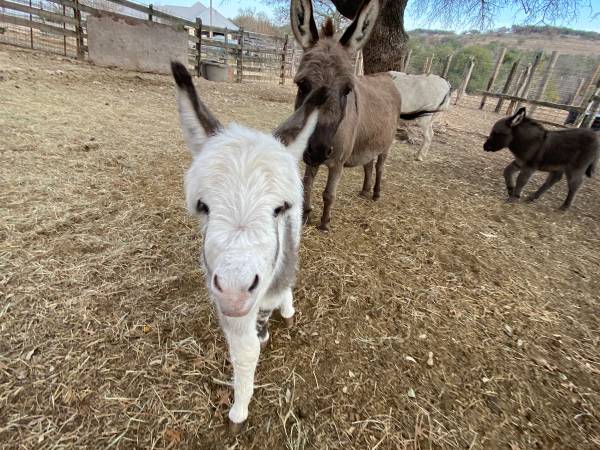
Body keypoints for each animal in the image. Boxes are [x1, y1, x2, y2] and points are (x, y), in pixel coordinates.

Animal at [171, 61, 326, 430]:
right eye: (204, 207)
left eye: (279, 209)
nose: (235, 290)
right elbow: (244, 352)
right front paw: (239, 410)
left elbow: (269, 304)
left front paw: (273, 319)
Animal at [290, 0, 400, 232]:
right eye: (302, 85)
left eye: (347, 91)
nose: (319, 150)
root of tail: (386, 77)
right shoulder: (309, 156)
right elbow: (307, 185)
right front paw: (305, 215)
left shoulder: (338, 163)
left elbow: (328, 194)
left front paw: (324, 223)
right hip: (369, 140)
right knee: (368, 164)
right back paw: (365, 191)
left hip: (386, 145)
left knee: (380, 166)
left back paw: (376, 194)